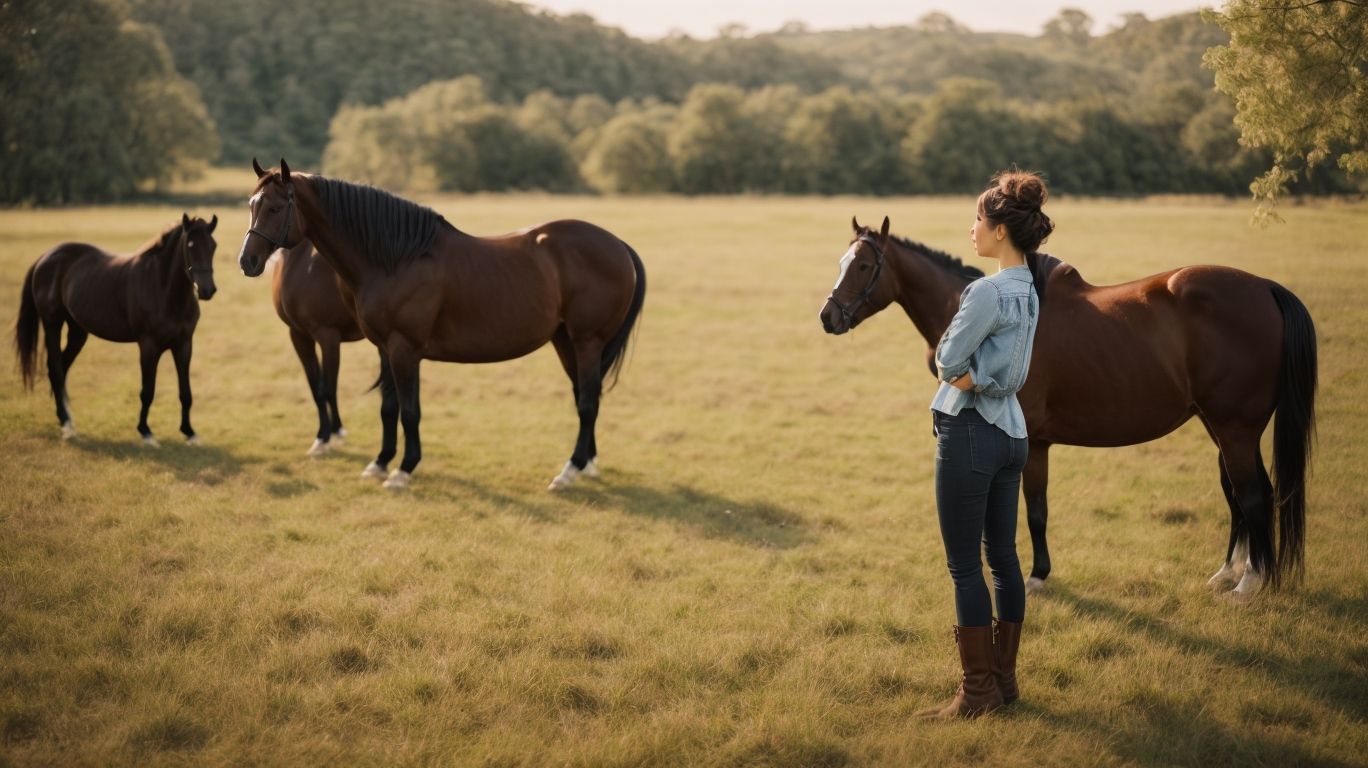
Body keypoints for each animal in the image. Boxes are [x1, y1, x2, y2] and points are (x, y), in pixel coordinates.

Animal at [15, 214, 220, 445]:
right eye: (190, 245)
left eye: (213, 245)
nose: (207, 290)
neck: (163, 288)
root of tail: (45, 257)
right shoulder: (148, 347)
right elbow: (147, 391)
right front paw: (145, 431)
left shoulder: (184, 345)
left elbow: (185, 392)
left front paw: (189, 431)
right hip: (52, 324)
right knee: (56, 369)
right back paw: (66, 423)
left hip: (77, 331)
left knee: (61, 367)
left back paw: (65, 418)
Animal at [271, 239, 365, 456]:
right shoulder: (298, 335)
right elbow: (316, 388)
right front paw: (328, 433)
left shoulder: (328, 337)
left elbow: (328, 387)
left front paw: (328, 435)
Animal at [820, 217, 1316, 600]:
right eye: (843, 262)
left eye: (863, 266)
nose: (828, 316)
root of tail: (1266, 288)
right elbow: (1035, 509)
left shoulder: (1029, 443)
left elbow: (1033, 511)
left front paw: (1036, 577)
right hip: (1222, 429)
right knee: (1240, 494)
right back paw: (1229, 573)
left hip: (1234, 429)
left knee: (1252, 495)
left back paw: (1248, 584)